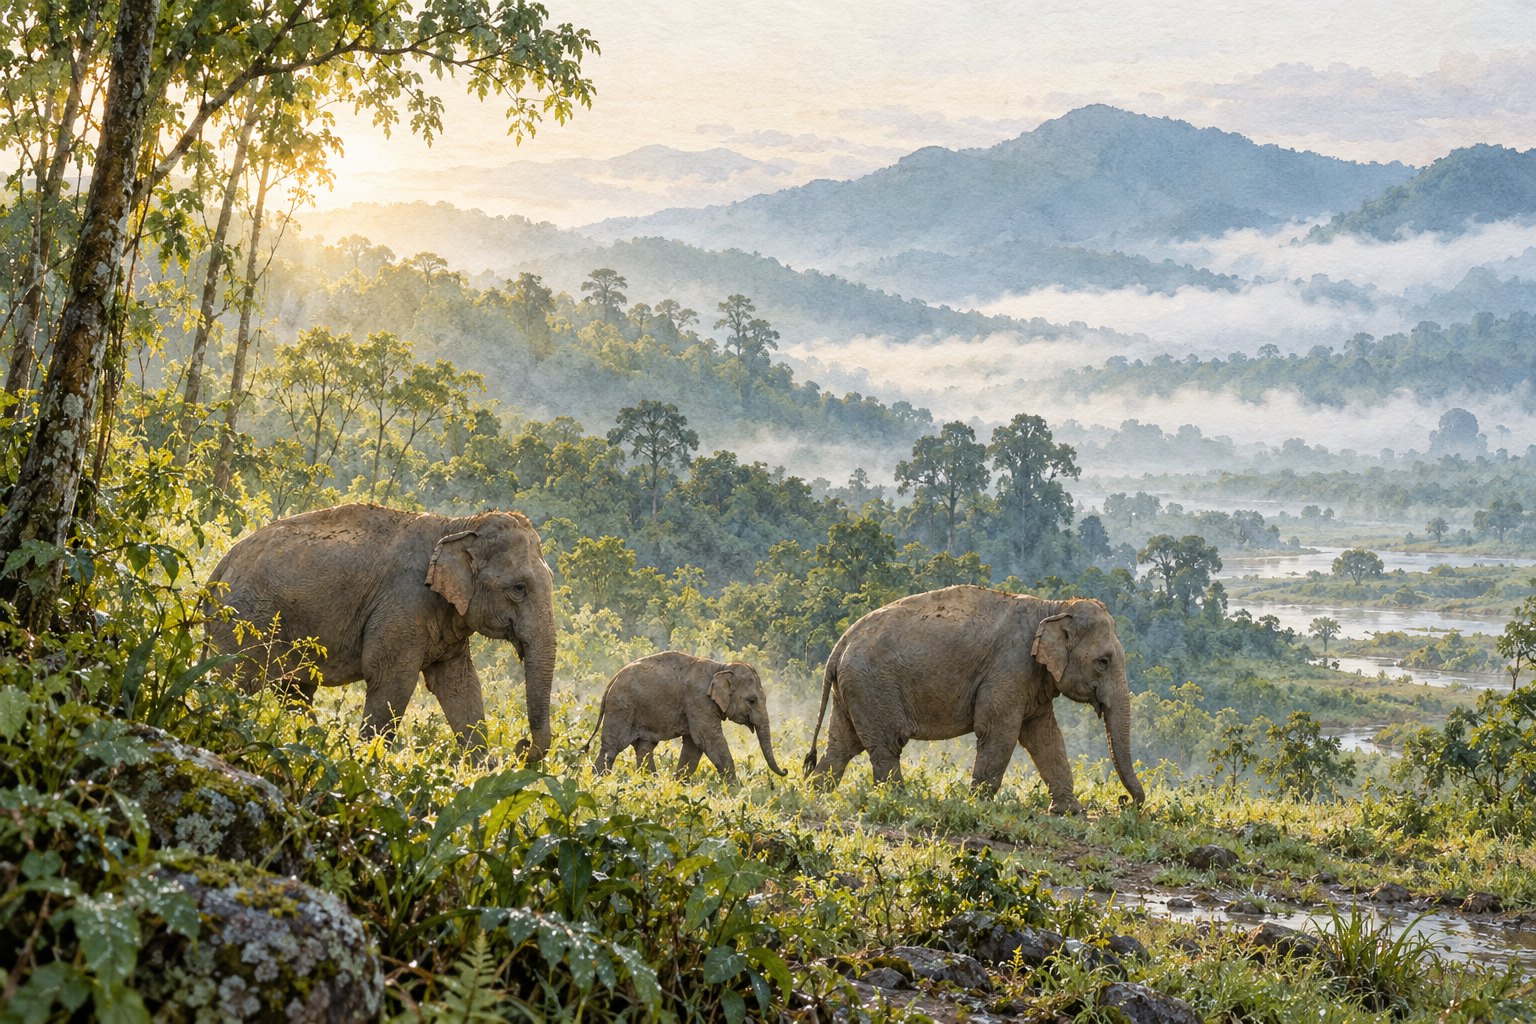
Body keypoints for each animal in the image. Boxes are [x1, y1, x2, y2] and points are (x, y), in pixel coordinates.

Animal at [204, 503, 557, 762]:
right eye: (519, 589)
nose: (521, 747)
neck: (457, 525)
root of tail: (219, 570)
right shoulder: (404, 604)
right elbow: (392, 680)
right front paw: (364, 764)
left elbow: (460, 685)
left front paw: (482, 773)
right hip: (245, 620)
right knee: (235, 680)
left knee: (294, 692)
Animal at [582, 652, 787, 782]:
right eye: (752, 700)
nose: (784, 771)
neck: (721, 667)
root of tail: (611, 681)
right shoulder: (698, 701)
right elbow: (708, 739)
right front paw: (736, 789)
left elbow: (694, 745)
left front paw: (678, 783)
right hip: (622, 707)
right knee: (612, 746)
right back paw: (599, 780)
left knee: (644, 747)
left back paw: (651, 782)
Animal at [803, 585, 1144, 813]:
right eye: (1103, 661)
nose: (1126, 802)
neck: (1053, 608)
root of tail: (841, 643)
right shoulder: (1009, 668)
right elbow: (998, 732)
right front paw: (978, 804)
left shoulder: (1029, 679)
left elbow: (1044, 736)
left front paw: (1068, 812)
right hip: (873, 686)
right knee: (886, 746)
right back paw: (898, 800)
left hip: (853, 689)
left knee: (842, 747)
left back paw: (815, 792)